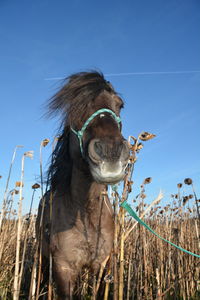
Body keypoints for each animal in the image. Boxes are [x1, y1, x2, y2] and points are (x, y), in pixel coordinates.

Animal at [36, 70, 130, 298]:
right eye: (74, 106)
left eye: (120, 104)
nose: (110, 152)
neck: (86, 213)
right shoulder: (63, 268)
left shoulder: (101, 265)